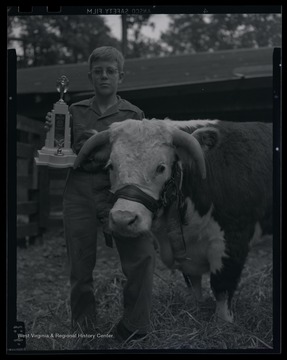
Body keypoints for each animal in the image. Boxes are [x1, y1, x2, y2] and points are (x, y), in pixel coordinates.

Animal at [73, 119, 274, 324]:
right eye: (111, 166)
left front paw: (223, 323)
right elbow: (193, 286)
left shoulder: (231, 243)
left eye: (161, 167)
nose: (123, 219)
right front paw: (194, 311)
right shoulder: (187, 253)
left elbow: (222, 288)